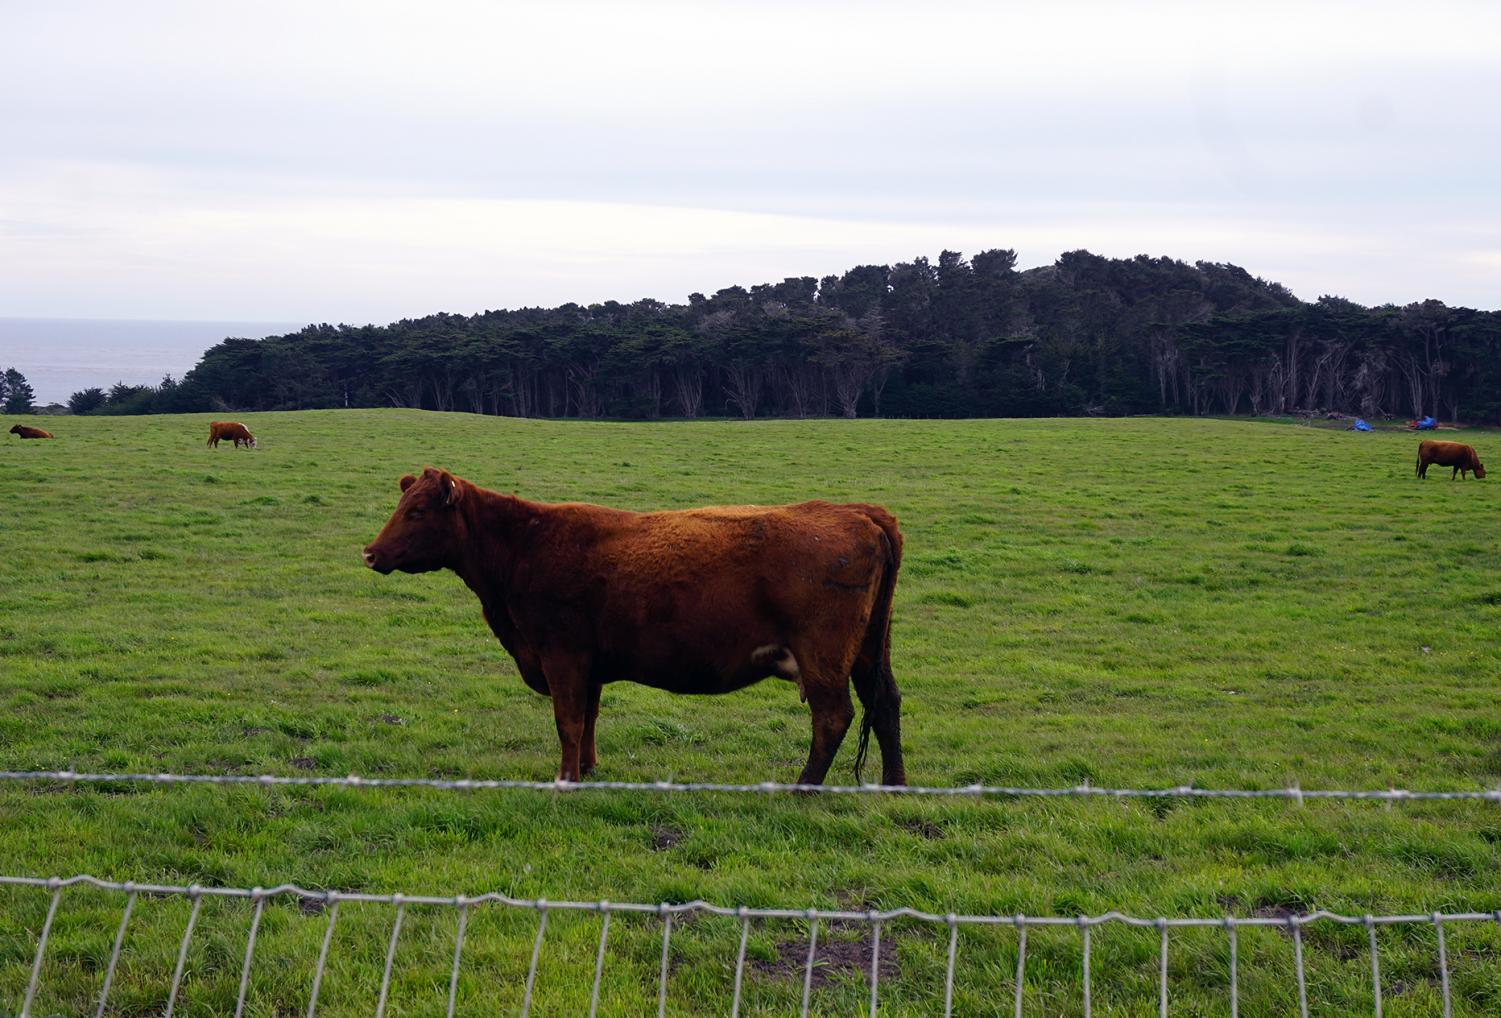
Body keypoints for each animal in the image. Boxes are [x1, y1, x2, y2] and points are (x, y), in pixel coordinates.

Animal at [363, 465, 900, 786]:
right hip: (868, 650)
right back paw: (894, 785)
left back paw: (802, 789)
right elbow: (589, 718)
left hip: (823, 656)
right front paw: (587, 768)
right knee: (886, 703)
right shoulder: (589, 663)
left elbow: (568, 720)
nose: (370, 552)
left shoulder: (562, 655)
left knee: (833, 717)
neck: (524, 546)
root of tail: (858, 510)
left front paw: (565, 780)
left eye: (416, 510)